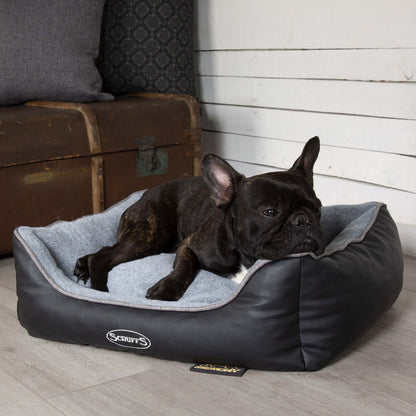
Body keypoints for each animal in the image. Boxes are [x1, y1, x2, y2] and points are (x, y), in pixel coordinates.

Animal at [75, 138, 324, 300]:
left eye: (317, 208)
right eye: (270, 212)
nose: (302, 219)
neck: (245, 258)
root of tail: (142, 197)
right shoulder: (189, 246)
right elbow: (185, 267)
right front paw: (166, 289)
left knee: (105, 249)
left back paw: (82, 266)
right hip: (149, 237)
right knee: (104, 255)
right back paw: (99, 290)